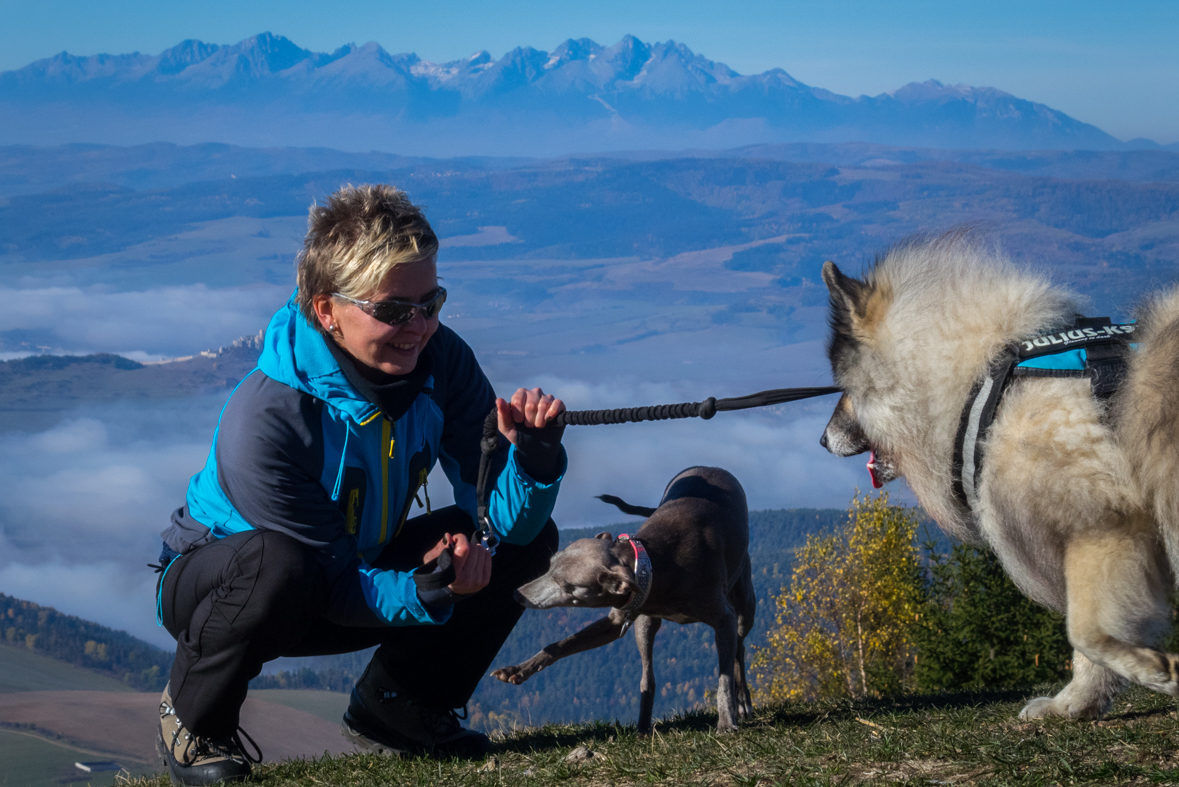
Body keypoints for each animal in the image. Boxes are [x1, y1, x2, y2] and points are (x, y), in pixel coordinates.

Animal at [490, 466, 754, 730]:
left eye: (564, 583)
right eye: (549, 566)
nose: (517, 594)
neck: (654, 563)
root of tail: (710, 468)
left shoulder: (723, 618)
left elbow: (723, 679)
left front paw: (726, 721)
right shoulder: (619, 619)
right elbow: (560, 645)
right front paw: (518, 669)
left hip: (743, 609)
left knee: (739, 649)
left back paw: (743, 702)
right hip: (645, 624)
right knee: (648, 677)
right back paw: (643, 727)